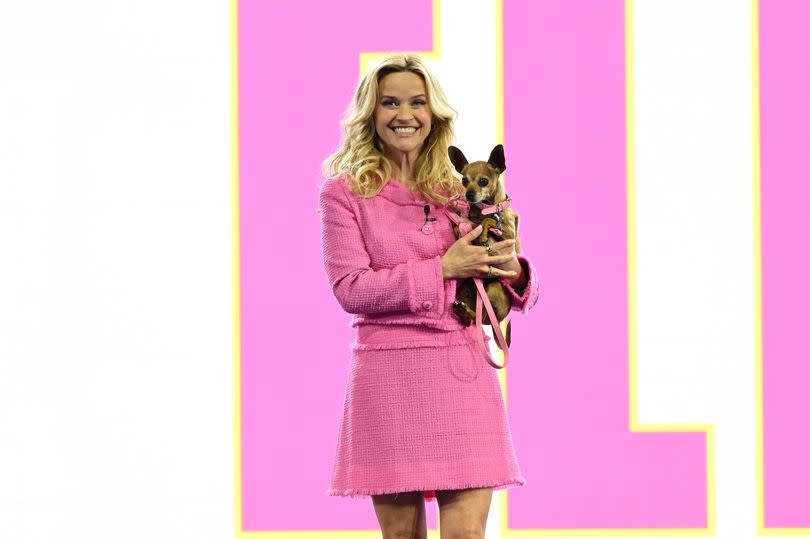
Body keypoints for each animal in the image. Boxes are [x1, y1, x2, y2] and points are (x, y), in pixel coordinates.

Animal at [446, 143, 520, 346]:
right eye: (464, 181)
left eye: (484, 181)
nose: (469, 194)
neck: (485, 210)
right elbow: (460, 227)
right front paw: (470, 230)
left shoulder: (509, 236)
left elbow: (490, 221)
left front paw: (483, 234)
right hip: (464, 288)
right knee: (474, 319)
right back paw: (463, 311)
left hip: (494, 288)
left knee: (484, 319)